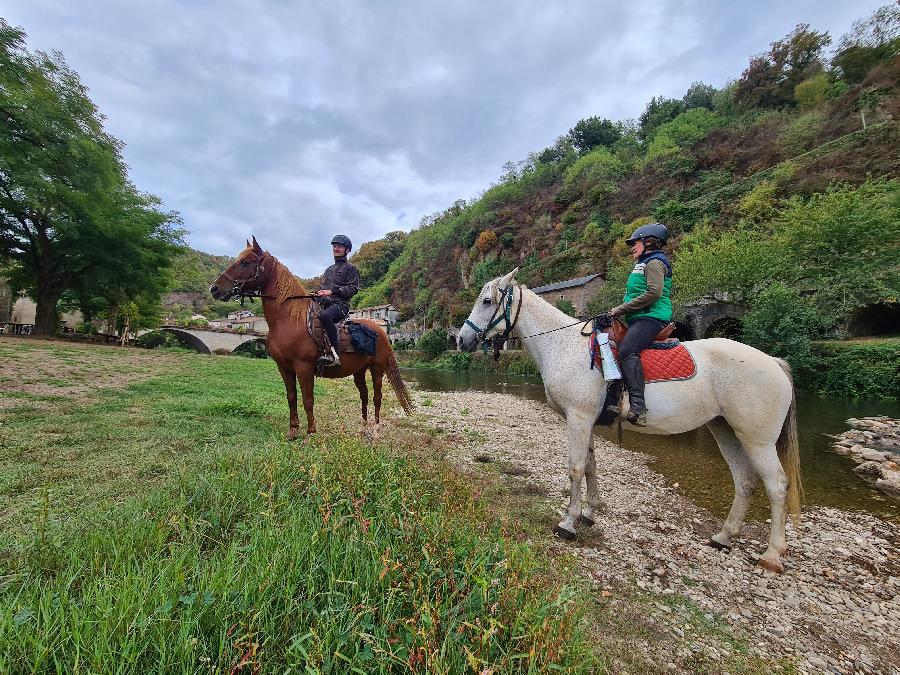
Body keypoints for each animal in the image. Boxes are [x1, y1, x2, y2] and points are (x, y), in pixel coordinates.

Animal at [209, 238, 414, 438]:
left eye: (245, 262)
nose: (214, 289)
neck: (289, 320)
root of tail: (382, 332)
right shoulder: (284, 368)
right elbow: (291, 397)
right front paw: (293, 430)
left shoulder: (304, 367)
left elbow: (308, 399)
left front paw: (311, 432)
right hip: (359, 370)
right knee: (363, 395)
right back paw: (363, 427)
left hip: (377, 369)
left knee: (377, 396)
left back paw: (376, 429)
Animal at [458, 270, 800, 576]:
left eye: (487, 301)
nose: (461, 339)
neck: (564, 346)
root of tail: (774, 362)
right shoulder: (586, 420)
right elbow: (591, 466)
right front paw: (589, 513)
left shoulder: (578, 419)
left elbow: (575, 468)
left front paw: (568, 523)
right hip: (725, 430)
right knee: (745, 481)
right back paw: (724, 537)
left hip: (757, 440)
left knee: (776, 486)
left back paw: (771, 556)